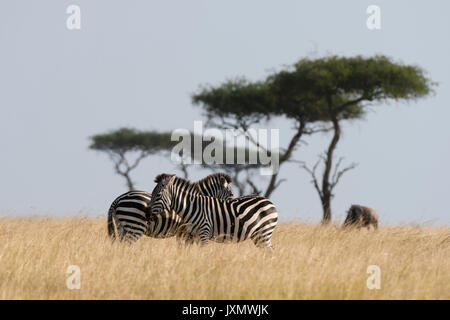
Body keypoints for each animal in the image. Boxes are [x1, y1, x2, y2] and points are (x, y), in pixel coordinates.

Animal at [149, 174, 278, 249]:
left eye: (158, 195)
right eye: (153, 194)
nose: (147, 212)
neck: (191, 207)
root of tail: (269, 200)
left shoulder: (202, 233)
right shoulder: (191, 235)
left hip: (264, 232)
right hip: (258, 235)